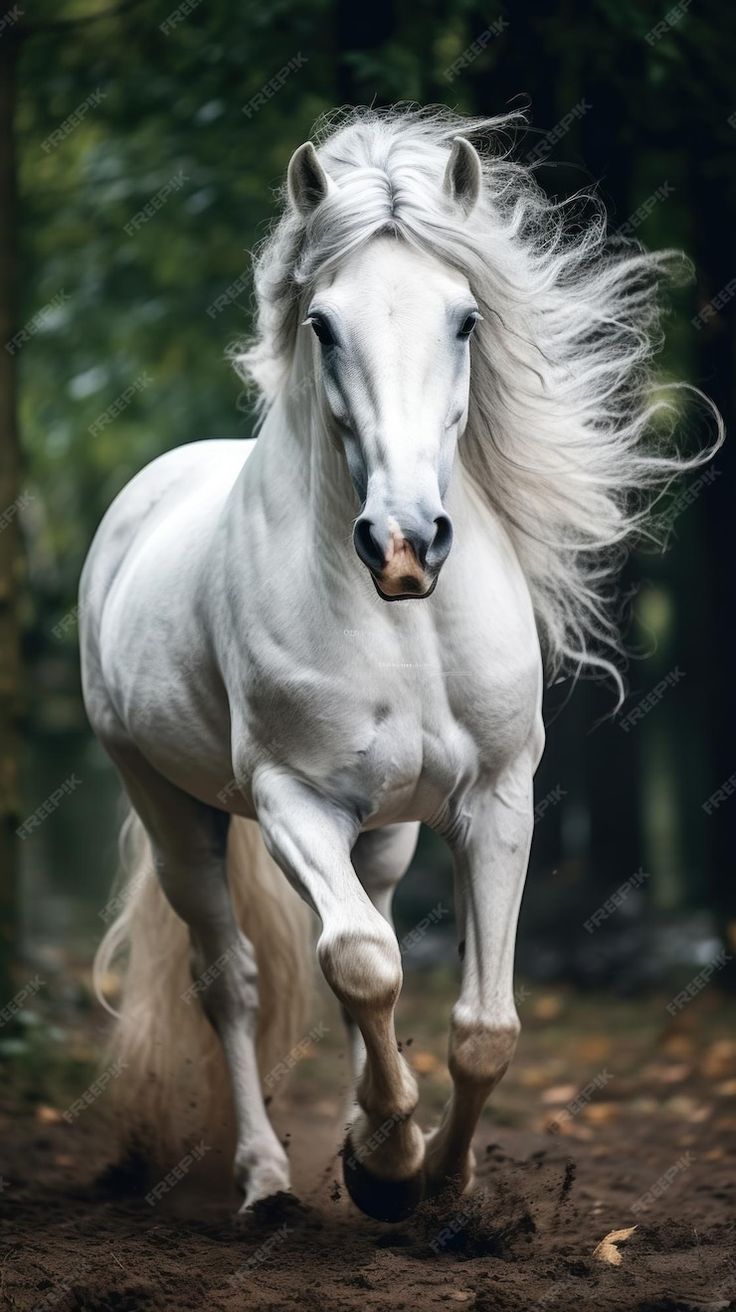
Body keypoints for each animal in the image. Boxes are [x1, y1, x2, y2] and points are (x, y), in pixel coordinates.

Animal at [81, 104, 718, 1217]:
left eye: (464, 319)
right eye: (322, 325)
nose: (406, 542)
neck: (406, 626)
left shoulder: (496, 799)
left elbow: (482, 1025)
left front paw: (443, 1187)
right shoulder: (292, 800)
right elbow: (364, 966)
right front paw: (385, 1165)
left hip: (380, 833)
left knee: (357, 936)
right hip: (173, 811)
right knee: (236, 979)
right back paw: (266, 1178)